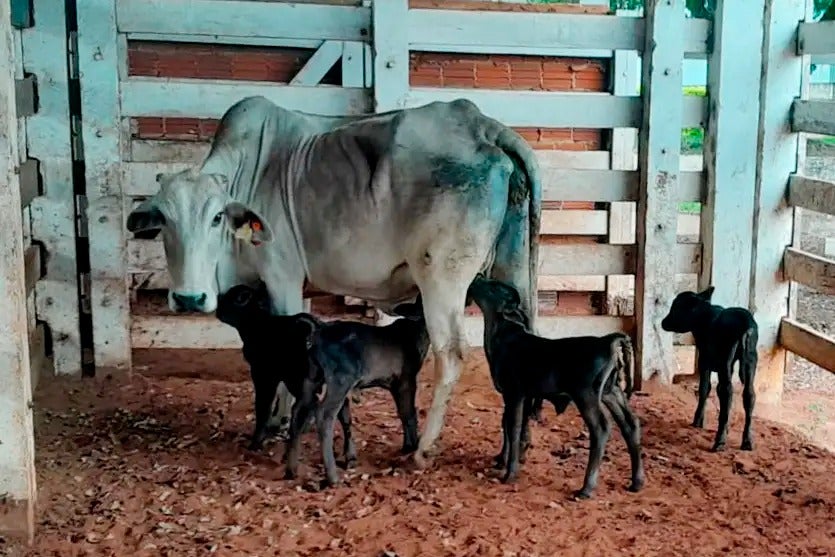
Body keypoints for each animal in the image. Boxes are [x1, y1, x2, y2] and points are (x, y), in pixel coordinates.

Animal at [125, 96, 542, 467]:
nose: (189, 298)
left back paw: (424, 448)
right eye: (163, 219)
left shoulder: (282, 278)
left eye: (216, 217)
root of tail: (479, 122)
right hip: (512, 271)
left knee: (451, 353)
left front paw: (284, 422)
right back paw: (519, 445)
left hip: (441, 275)